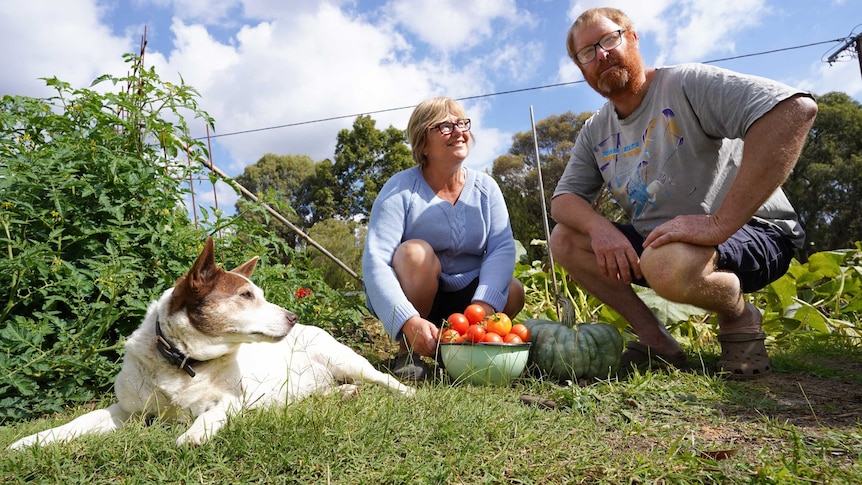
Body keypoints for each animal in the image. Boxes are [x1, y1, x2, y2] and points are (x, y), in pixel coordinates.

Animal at [9, 236, 416, 448]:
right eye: (246, 296)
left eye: (259, 294)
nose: (292, 317)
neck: (182, 362)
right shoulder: (127, 411)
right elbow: (80, 420)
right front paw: (31, 441)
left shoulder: (233, 400)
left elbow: (213, 412)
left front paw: (192, 434)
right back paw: (341, 394)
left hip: (345, 359)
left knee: (381, 379)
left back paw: (410, 393)